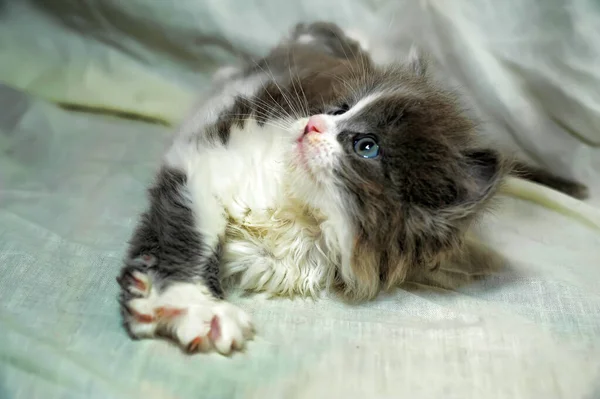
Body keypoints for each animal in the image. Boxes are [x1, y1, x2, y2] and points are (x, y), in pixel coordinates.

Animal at [117, 21, 592, 354]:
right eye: (337, 109)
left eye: (367, 146)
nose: (311, 123)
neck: (301, 212)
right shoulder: (204, 167)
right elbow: (190, 236)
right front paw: (194, 306)